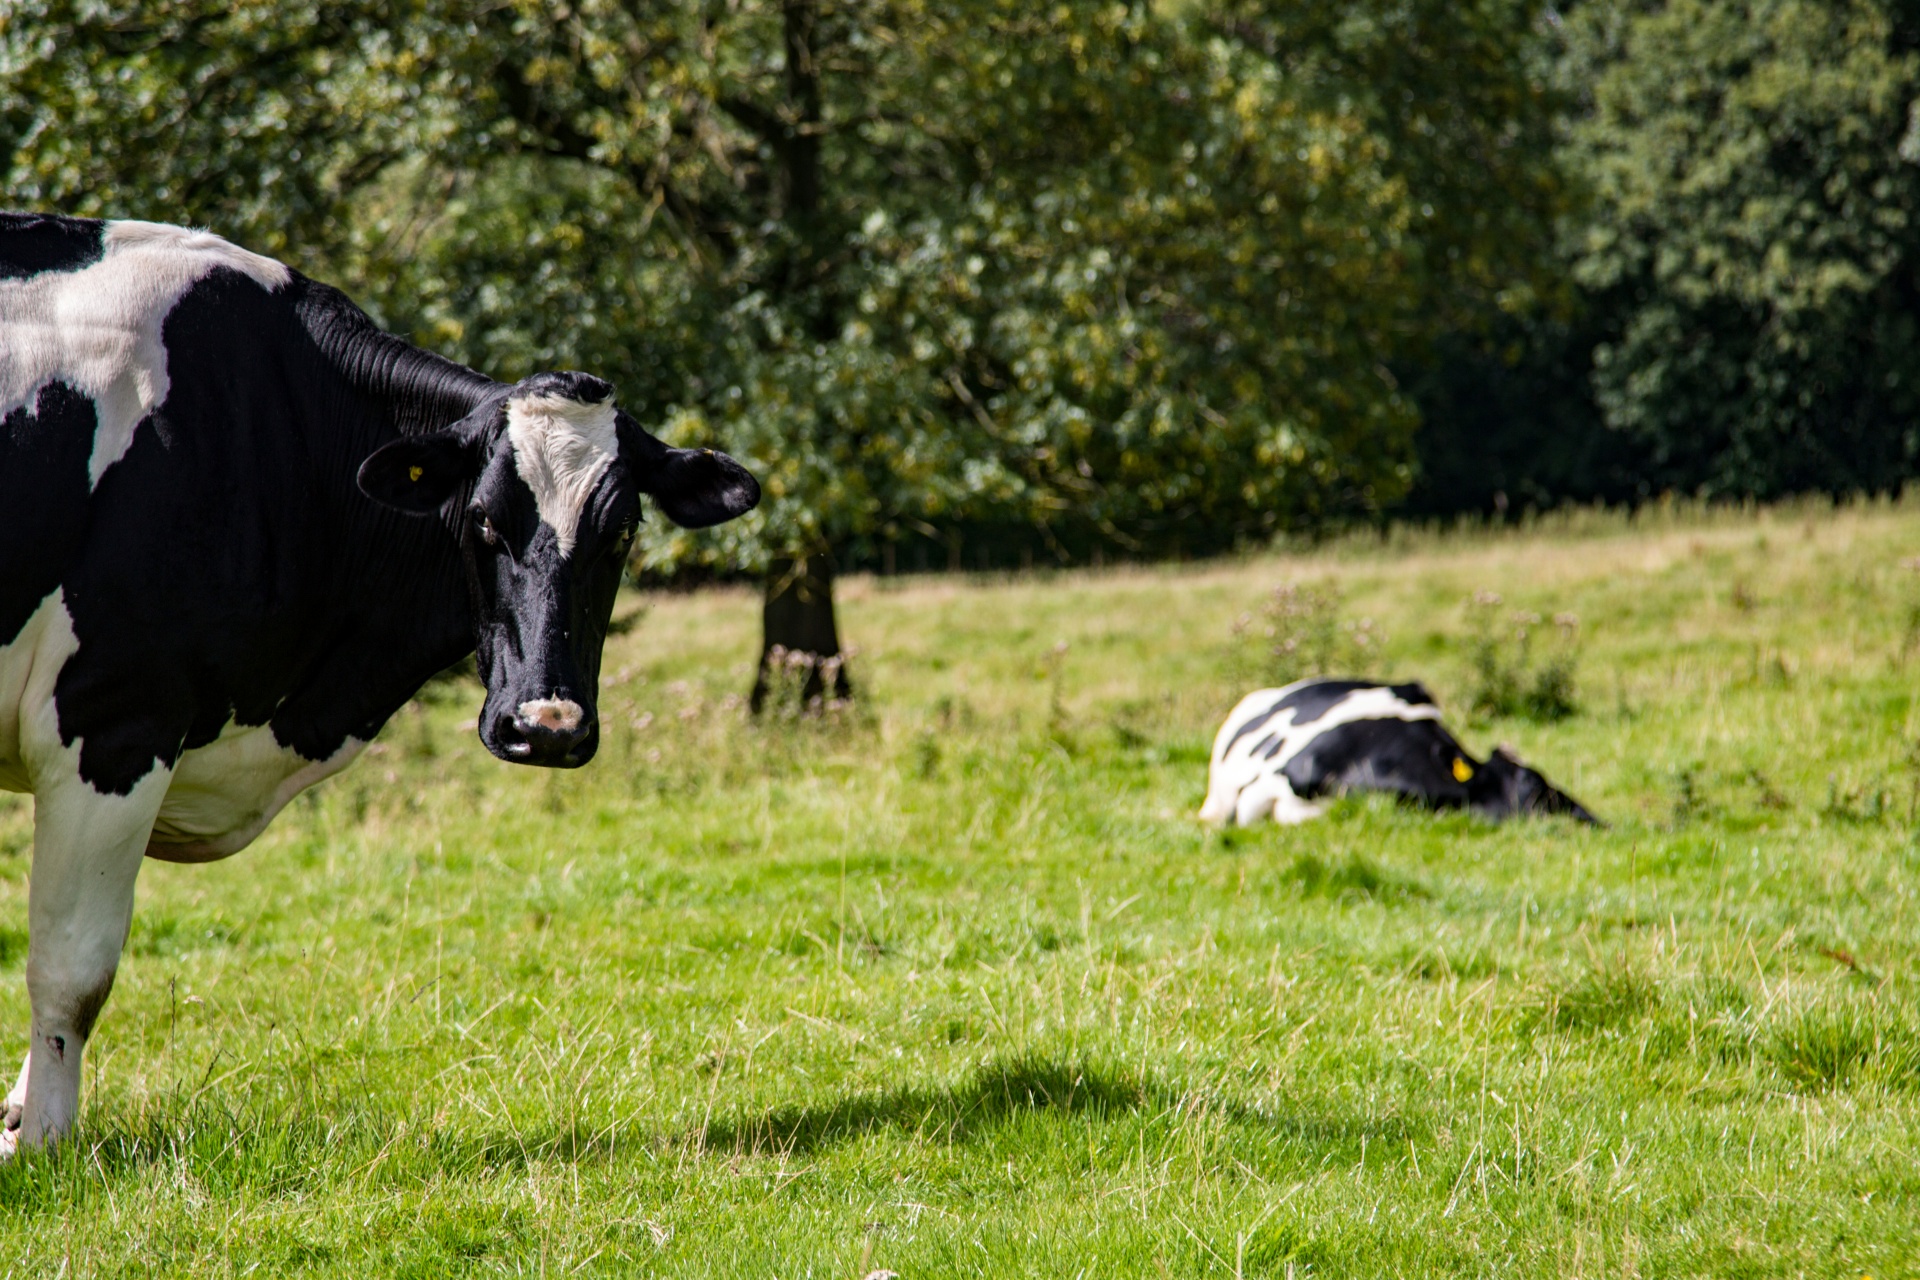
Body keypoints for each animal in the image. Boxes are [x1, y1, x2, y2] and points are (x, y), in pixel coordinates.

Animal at [0, 214, 764, 1159]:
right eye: (483, 520)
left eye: (621, 530)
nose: (546, 724)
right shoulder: (114, 719)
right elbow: (73, 967)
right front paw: (39, 1145)